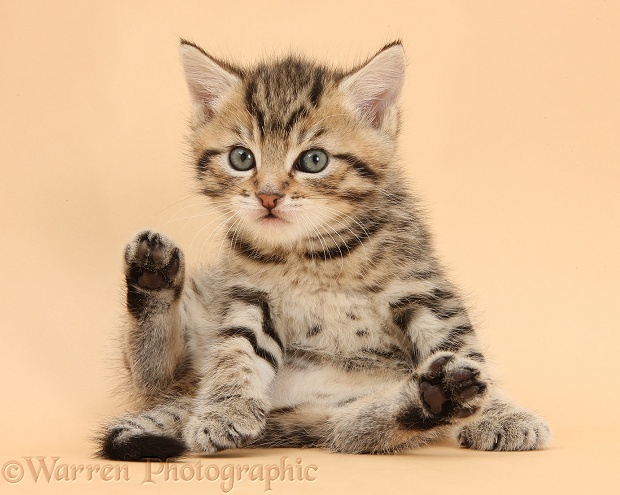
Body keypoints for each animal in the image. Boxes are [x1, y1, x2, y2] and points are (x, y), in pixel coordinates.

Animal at [99, 39, 548, 462]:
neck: (316, 255)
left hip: (331, 414)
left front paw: (500, 414)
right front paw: (224, 409)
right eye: (241, 157)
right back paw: (153, 276)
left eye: (313, 160)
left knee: (356, 430)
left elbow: (460, 344)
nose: (267, 196)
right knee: (156, 376)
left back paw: (438, 396)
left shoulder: (423, 287)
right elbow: (235, 350)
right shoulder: (249, 293)